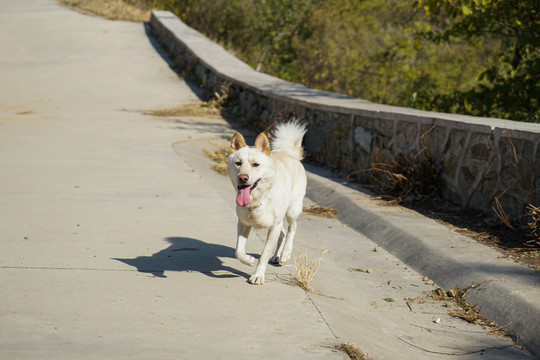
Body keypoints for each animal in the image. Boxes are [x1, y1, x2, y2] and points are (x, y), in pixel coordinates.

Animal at [226, 122, 306, 286]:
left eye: (256, 164)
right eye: (238, 163)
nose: (243, 178)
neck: (260, 198)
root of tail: (290, 155)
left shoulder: (274, 227)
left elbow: (263, 255)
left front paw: (258, 275)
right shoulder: (243, 223)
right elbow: (238, 251)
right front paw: (249, 260)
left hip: (292, 210)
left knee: (292, 229)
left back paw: (286, 253)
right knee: (283, 232)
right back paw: (277, 256)